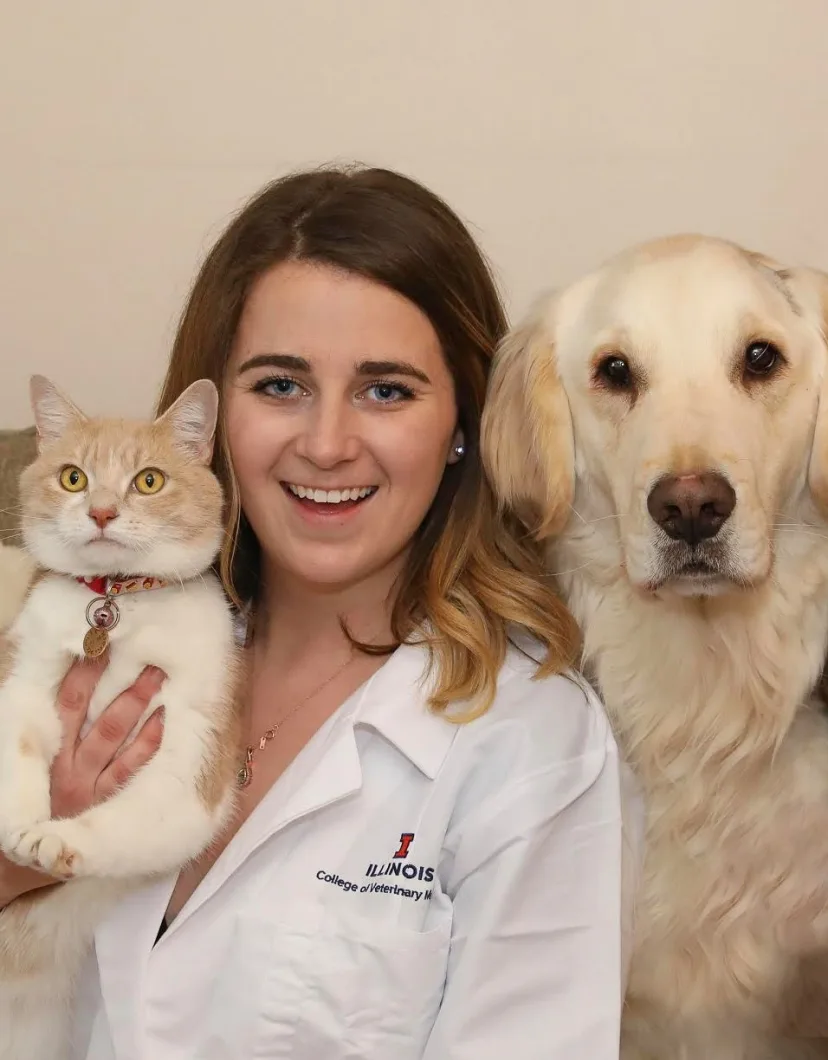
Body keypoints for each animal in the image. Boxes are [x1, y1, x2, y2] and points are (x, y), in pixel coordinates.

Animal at [0, 379, 242, 1060]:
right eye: (74, 477)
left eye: (149, 481)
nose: (102, 512)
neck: (118, 605)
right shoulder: (22, 678)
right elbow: (17, 748)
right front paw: (21, 819)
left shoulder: (195, 762)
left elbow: (131, 817)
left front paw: (57, 839)